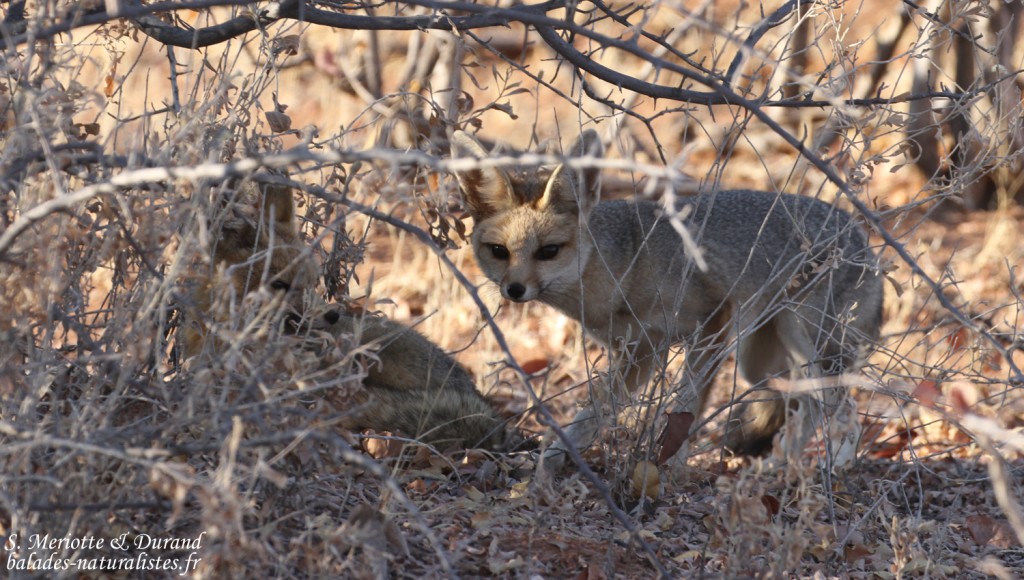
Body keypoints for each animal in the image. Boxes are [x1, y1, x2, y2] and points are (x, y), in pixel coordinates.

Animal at [451, 130, 884, 469]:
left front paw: (670, 467)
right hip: (760, 364)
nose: (514, 289)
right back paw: (778, 467)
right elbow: (592, 414)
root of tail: (863, 238)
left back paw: (834, 467)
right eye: (499, 252)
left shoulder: (712, 323)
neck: (625, 265)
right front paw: (554, 460)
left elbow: (684, 406)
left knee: (841, 409)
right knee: (805, 406)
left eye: (548, 252)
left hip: (807, 342)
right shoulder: (640, 353)